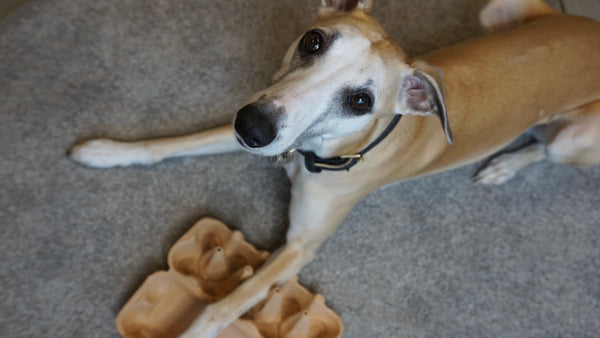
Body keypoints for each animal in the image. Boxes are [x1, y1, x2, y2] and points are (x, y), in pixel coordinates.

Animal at [68, 0, 600, 336]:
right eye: (314, 40)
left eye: (361, 100)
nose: (252, 127)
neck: (321, 152)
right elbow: (173, 142)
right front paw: (106, 151)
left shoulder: (300, 247)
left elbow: (224, 307)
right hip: (499, 11)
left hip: (573, 139)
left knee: (545, 150)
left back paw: (504, 165)